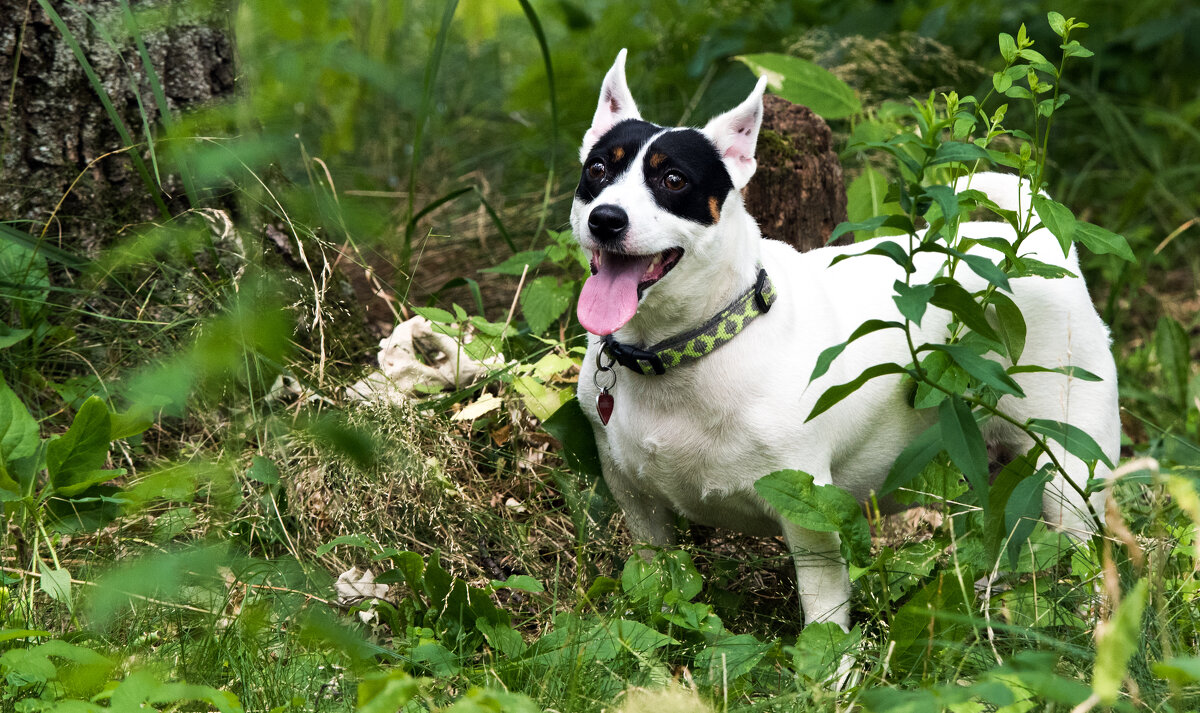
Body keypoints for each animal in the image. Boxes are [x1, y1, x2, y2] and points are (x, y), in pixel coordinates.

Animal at [571, 49, 1113, 628]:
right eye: (597, 171)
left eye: (673, 179)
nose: (606, 219)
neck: (684, 348)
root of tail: (1044, 250)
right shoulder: (637, 501)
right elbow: (655, 576)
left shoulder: (809, 512)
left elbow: (823, 610)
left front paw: (829, 656)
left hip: (1069, 467)